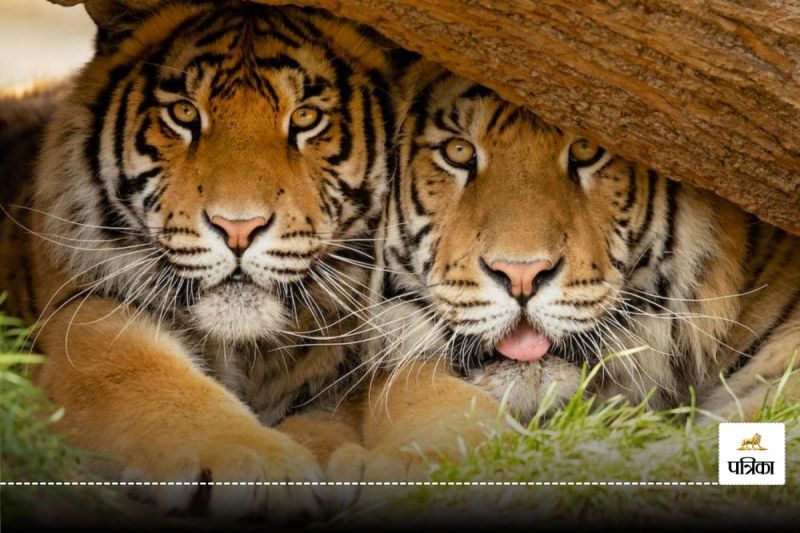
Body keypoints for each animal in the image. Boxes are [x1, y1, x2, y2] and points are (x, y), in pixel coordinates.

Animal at [0, 0, 404, 517]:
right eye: (184, 113)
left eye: (307, 118)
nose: (238, 228)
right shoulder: (85, 316)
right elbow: (152, 381)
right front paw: (265, 467)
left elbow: (338, 415)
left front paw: (337, 460)